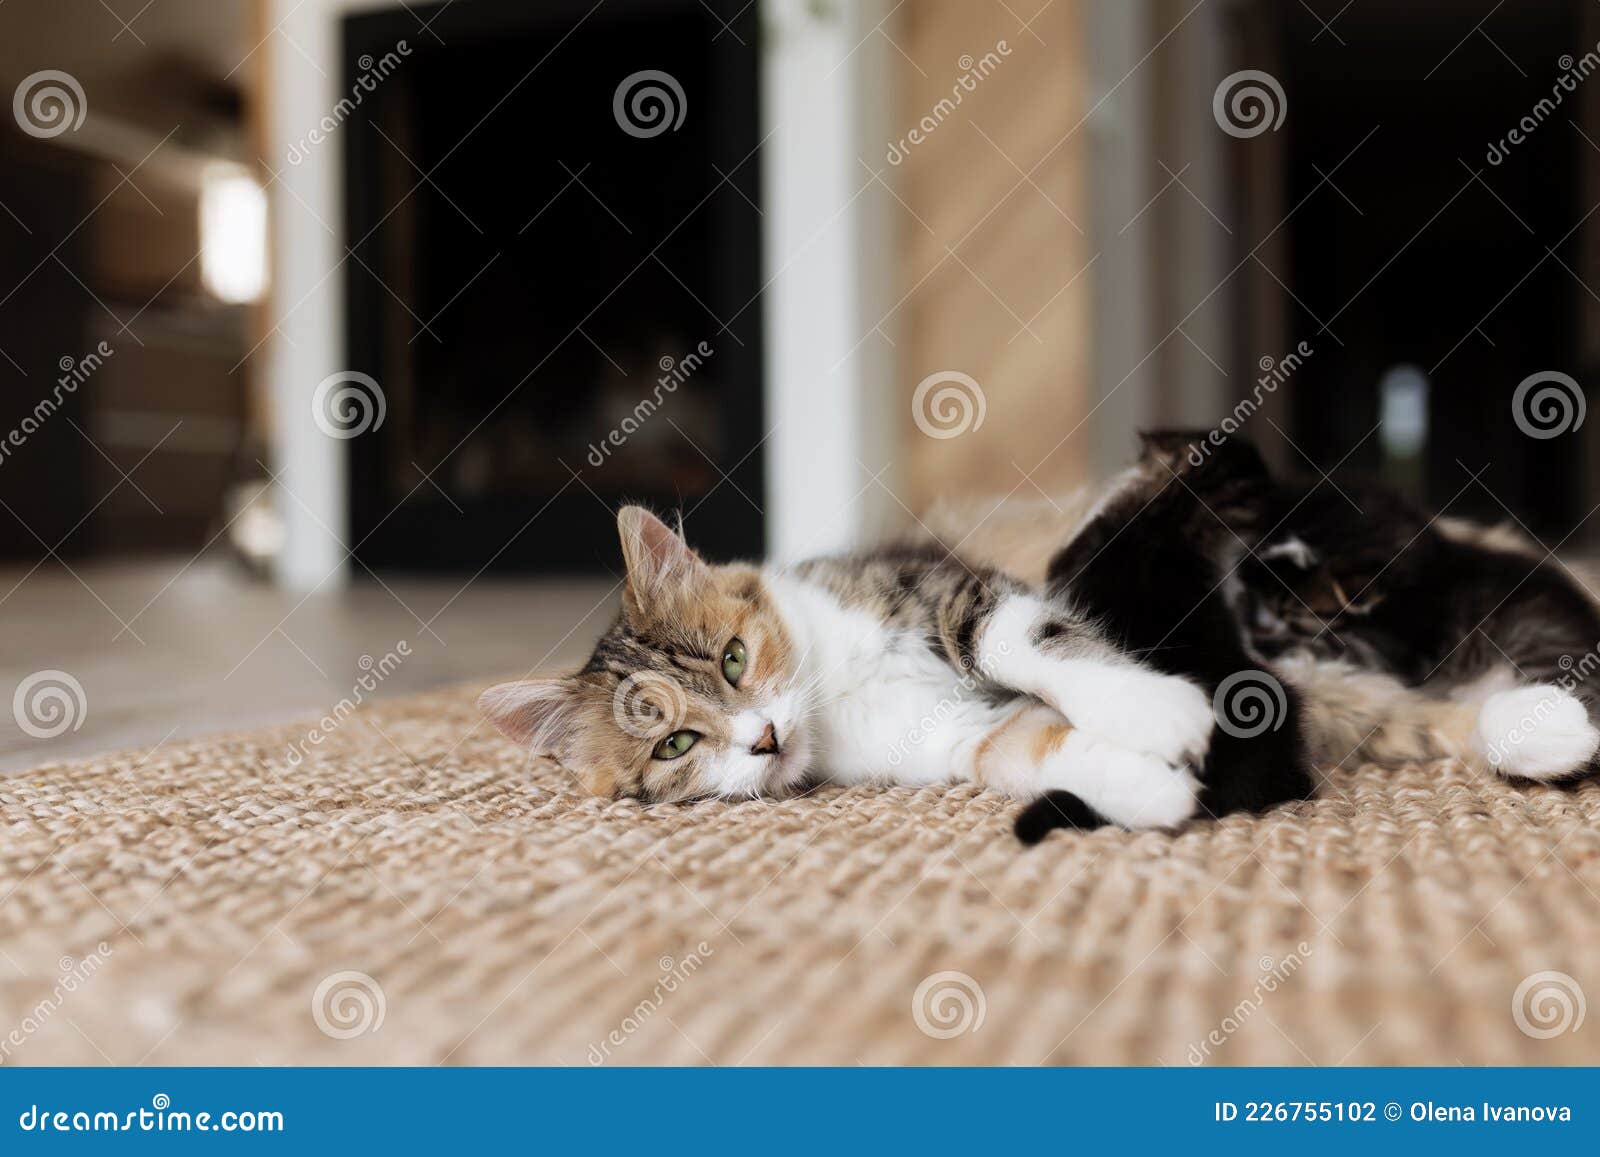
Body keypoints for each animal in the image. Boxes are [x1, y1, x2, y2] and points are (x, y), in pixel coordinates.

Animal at [480, 435, 1600, 844]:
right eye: (675, 742)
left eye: (732, 658)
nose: (760, 738)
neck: (835, 692)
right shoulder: (956, 740)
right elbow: (1041, 749)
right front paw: (1152, 785)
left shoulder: (957, 588)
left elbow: (1022, 642)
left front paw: (1158, 708)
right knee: (1442, 715)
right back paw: (1541, 728)